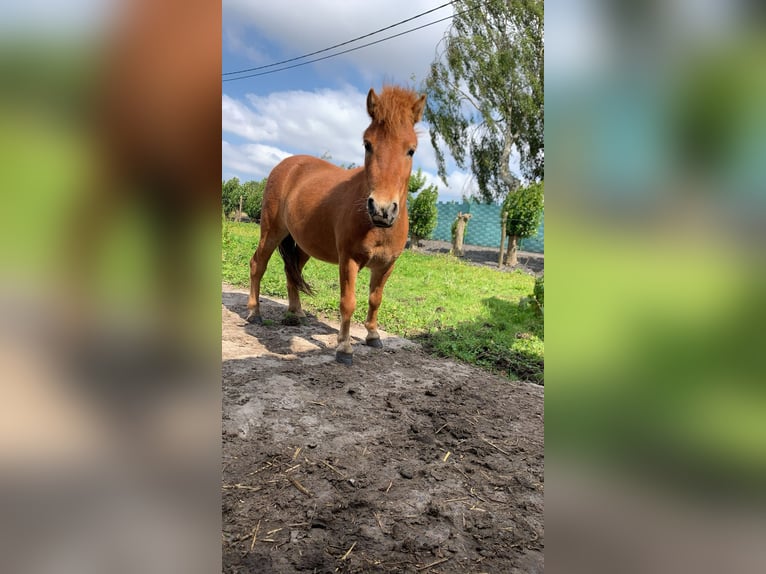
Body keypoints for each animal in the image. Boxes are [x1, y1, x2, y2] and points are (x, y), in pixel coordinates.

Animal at [246, 85, 426, 364]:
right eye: (368, 144)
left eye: (411, 150)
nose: (382, 209)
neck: (375, 226)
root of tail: (287, 164)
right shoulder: (348, 259)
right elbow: (348, 302)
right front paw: (344, 348)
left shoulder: (387, 264)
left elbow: (375, 299)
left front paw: (373, 336)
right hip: (271, 231)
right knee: (258, 265)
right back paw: (254, 313)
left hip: (305, 245)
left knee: (292, 270)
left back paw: (296, 312)